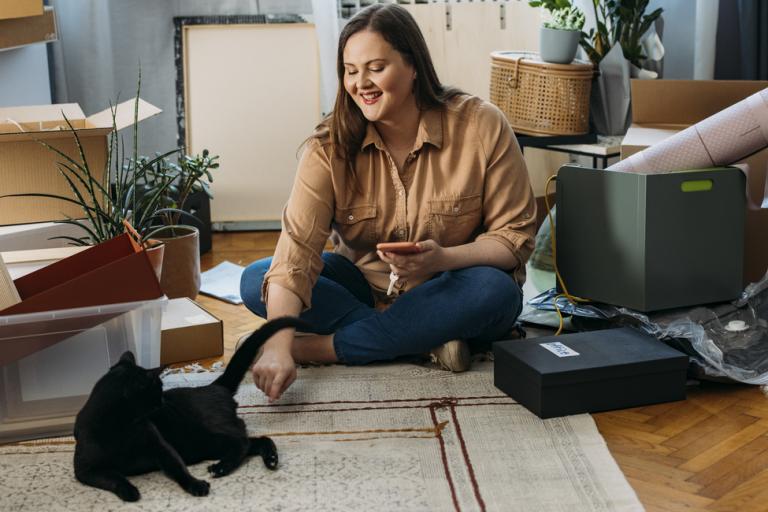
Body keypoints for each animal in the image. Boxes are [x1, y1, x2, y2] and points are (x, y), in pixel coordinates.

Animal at [73, 316, 308, 500]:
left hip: (203, 436)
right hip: (203, 443)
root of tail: (215, 386)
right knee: (256, 441)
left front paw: (196, 485)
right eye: (157, 389)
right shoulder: (84, 470)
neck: (121, 427)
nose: (163, 400)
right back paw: (270, 459)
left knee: (242, 441)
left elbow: (178, 469)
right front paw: (128, 491)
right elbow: (113, 478)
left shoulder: (162, 447)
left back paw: (221, 468)